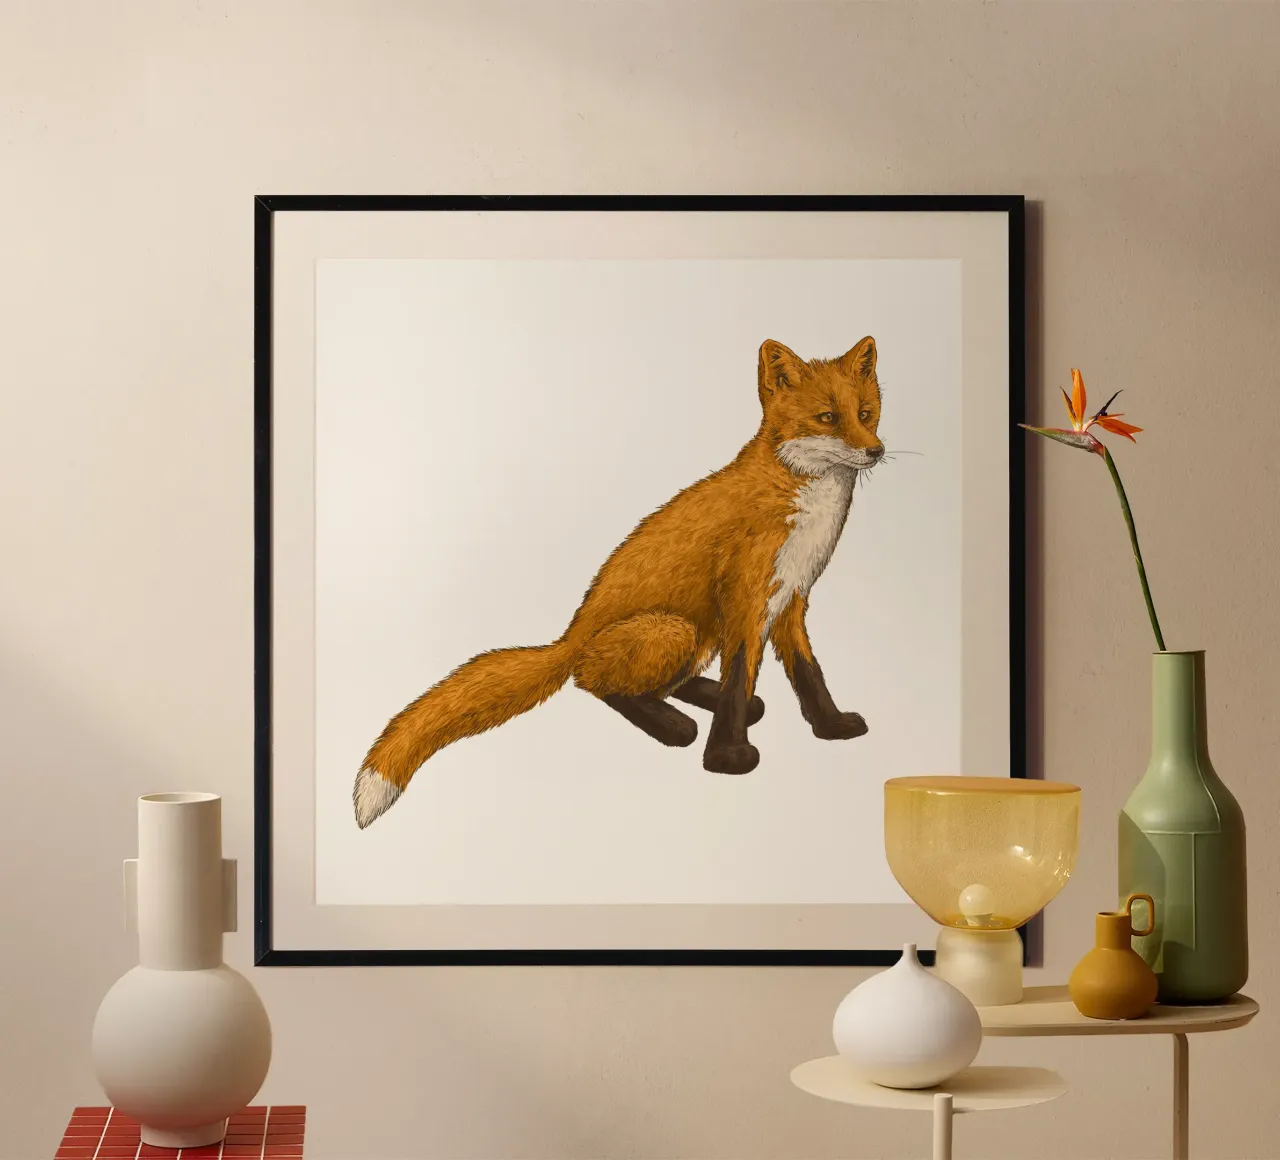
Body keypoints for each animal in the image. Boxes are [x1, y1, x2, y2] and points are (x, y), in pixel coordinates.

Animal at [353, 335, 884, 829]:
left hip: (695, 635)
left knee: (652, 683)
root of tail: (571, 636)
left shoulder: (790, 597)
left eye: (866, 413)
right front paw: (728, 757)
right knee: (599, 684)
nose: (876, 451)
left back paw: (698, 701)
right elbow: (739, 678)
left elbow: (808, 674)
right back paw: (675, 726)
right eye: (827, 417)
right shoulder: (746, 598)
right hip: (674, 630)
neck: (798, 499)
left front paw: (833, 726)